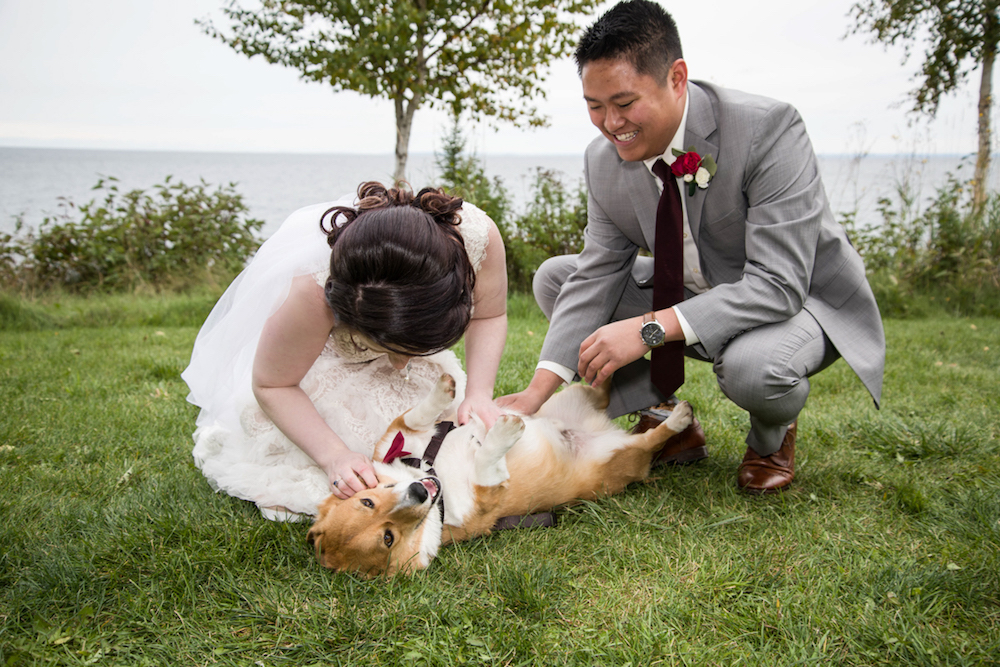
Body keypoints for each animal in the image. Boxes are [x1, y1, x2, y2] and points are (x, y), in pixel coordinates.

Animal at [308, 374, 692, 576]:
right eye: (388, 538)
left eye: (367, 500)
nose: (419, 492)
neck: (436, 476)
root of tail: (595, 430)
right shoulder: (487, 496)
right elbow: (487, 461)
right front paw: (504, 433)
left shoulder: (397, 437)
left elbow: (413, 416)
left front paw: (445, 391)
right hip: (623, 456)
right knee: (652, 438)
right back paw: (677, 418)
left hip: (571, 396)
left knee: (601, 387)